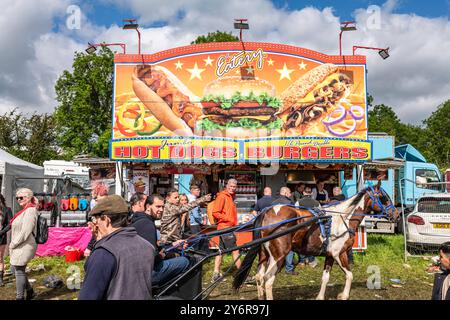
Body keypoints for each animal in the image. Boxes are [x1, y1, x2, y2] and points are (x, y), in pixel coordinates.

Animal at [234, 182, 400, 300]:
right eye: (384, 198)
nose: (397, 214)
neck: (343, 218)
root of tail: (267, 212)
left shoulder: (329, 255)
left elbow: (325, 278)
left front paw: (320, 296)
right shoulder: (339, 254)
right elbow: (349, 275)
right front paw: (344, 295)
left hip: (264, 255)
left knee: (259, 277)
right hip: (278, 257)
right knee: (268, 280)